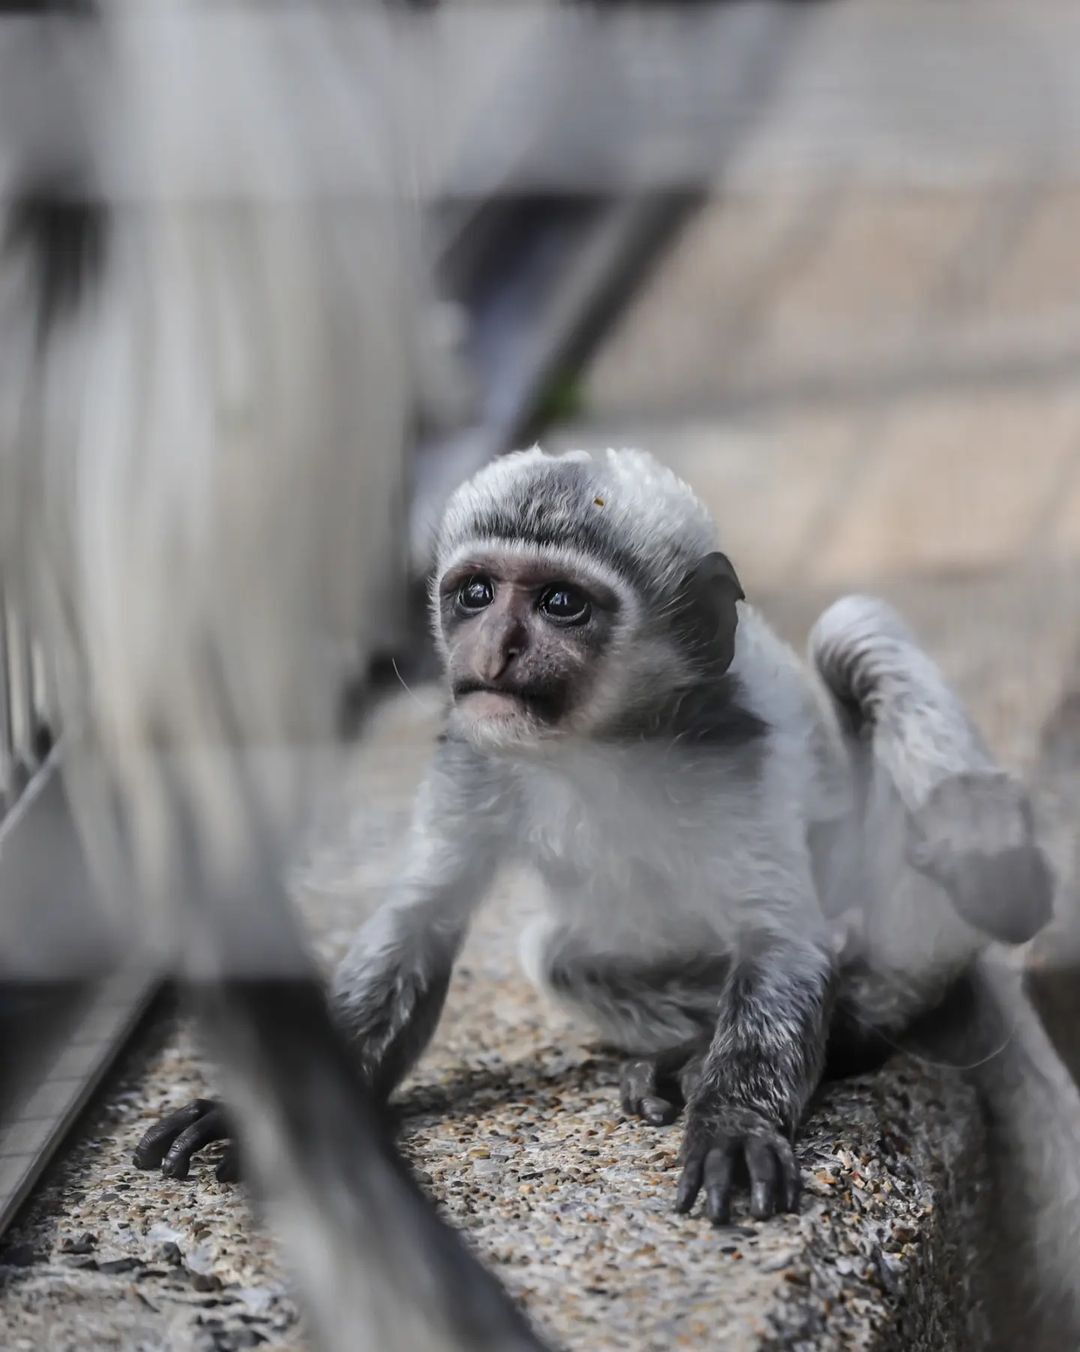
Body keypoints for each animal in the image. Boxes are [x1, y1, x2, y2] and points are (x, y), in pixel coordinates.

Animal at [137, 451, 1054, 1227]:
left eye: (559, 604)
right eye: (476, 594)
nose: (496, 647)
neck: (599, 750)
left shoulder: (730, 757)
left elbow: (785, 942)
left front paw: (733, 1120)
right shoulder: (473, 750)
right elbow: (419, 921)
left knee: (852, 634)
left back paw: (959, 882)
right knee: (560, 956)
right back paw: (683, 1052)